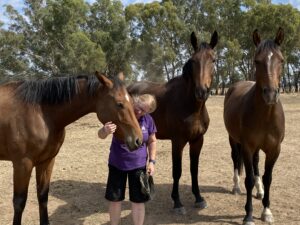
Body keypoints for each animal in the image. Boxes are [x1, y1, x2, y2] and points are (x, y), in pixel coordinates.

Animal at [0, 71, 143, 225]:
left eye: (132, 102)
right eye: (119, 104)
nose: (138, 140)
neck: (40, 113)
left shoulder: (47, 161)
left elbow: (43, 196)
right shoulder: (22, 164)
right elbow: (19, 202)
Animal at [127, 30, 218, 214]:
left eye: (213, 60)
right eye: (193, 61)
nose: (201, 92)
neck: (191, 106)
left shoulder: (197, 140)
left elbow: (194, 170)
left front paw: (199, 198)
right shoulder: (178, 142)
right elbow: (177, 171)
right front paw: (177, 202)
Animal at [224, 28, 284, 225]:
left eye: (281, 60)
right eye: (257, 61)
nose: (270, 94)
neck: (266, 116)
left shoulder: (274, 149)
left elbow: (268, 178)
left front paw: (267, 211)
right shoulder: (247, 147)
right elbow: (248, 179)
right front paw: (249, 215)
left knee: (257, 164)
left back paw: (260, 191)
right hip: (233, 140)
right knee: (236, 160)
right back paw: (236, 187)